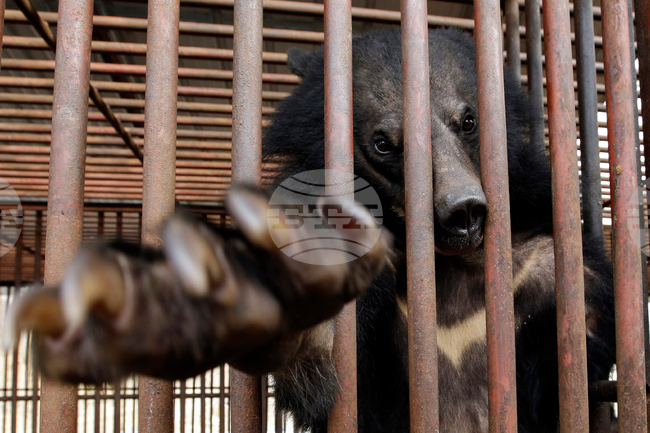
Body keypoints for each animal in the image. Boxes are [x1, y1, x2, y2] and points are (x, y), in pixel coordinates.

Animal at [3, 28, 615, 433]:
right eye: (383, 143)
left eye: (468, 120)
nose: (462, 211)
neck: (442, 268)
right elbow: (319, 370)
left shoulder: (538, 265)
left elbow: (584, 346)